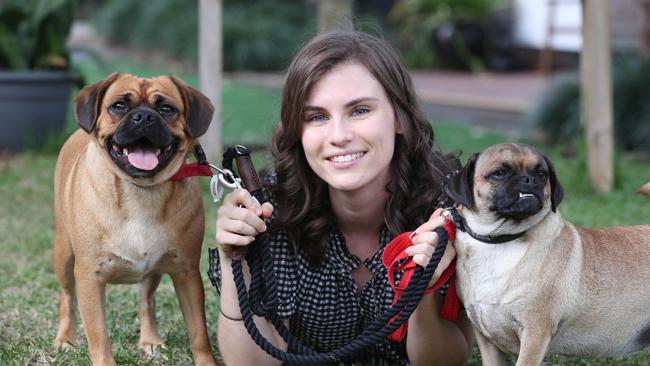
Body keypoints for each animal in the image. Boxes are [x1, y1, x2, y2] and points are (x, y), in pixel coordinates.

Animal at [52, 73, 219, 364]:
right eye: (119, 106)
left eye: (166, 108)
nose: (144, 117)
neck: (141, 191)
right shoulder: (89, 277)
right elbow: (99, 337)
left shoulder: (186, 272)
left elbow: (199, 333)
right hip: (64, 254)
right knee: (67, 297)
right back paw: (66, 338)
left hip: (153, 271)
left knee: (146, 301)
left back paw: (150, 340)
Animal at [442, 144, 648, 366]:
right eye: (499, 173)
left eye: (542, 174)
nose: (529, 180)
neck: (501, 240)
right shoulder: (487, 340)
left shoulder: (535, 333)